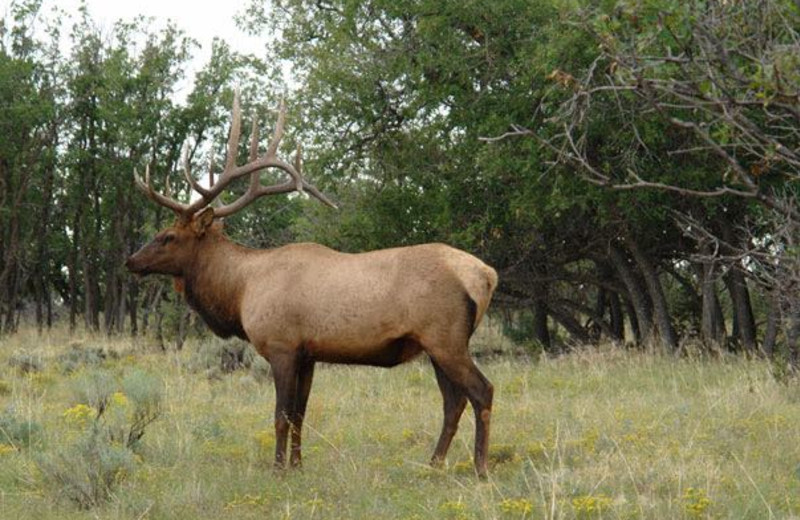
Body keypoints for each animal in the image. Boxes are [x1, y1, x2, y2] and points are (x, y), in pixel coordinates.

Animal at [126, 92, 496, 476]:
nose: (131, 261)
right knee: (453, 401)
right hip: (438, 344)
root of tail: (486, 275)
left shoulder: (281, 346)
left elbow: (280, 416)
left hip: (445, 338)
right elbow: (300, 416)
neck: (240, 292)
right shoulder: (308, 354)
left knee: (482, 391)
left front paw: (277, 469)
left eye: (168, 236)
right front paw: (297, 465)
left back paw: (480, 468)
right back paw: (433, 464)